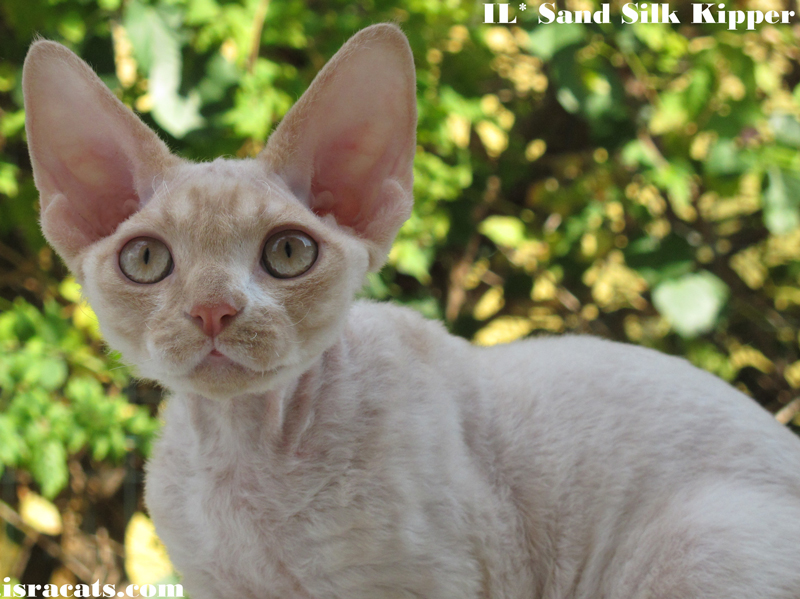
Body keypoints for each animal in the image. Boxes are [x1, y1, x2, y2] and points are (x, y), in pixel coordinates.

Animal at [21, 22, 800, 599]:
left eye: (288, 252)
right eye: (146, 260)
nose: (215, 310)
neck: (242, 455)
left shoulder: (427, 579)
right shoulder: (214, 583)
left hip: (700, 541)